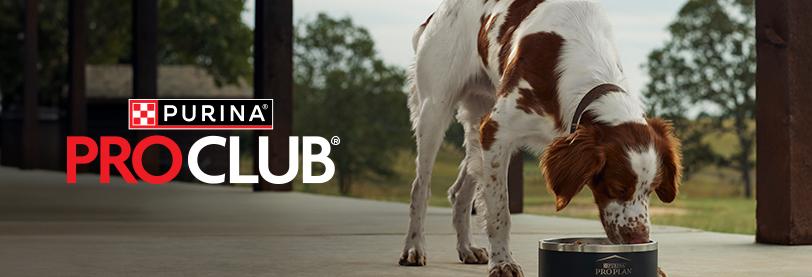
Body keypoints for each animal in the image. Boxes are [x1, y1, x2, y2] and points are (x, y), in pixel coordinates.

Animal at [402, 0, 680, 276]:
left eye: (651, 190)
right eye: (616, 187)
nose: (639, 238)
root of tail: (435, 14)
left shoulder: (492, 135)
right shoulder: (497, 131)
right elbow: (500, 213)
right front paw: (503, 262)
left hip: (477, 124)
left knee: (459, 193)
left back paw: (466, 248)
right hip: (435, 111)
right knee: (420, 187)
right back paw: (414, 248)